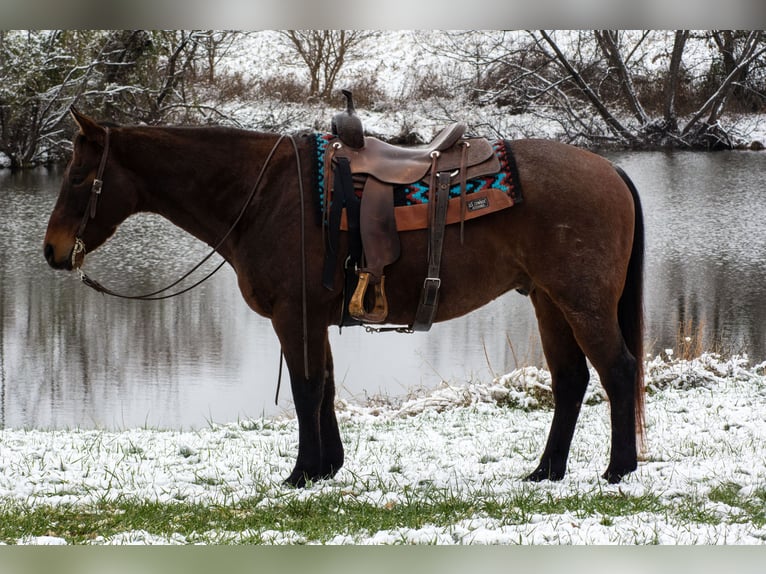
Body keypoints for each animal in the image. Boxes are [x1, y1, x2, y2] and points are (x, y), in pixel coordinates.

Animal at [44, 108, 645, 487]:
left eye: (76, 178)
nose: (52, 251)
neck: (264, 196)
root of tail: (610, 169)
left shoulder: (294, 315)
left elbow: (307, 390)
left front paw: (301, 472)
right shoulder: (313, 318)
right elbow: (326, 388)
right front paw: (327, 467)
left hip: (582, 303)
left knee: (618, 371)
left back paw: (619, 469)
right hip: (549, 302)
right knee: (570, 381)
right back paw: (546, 471)